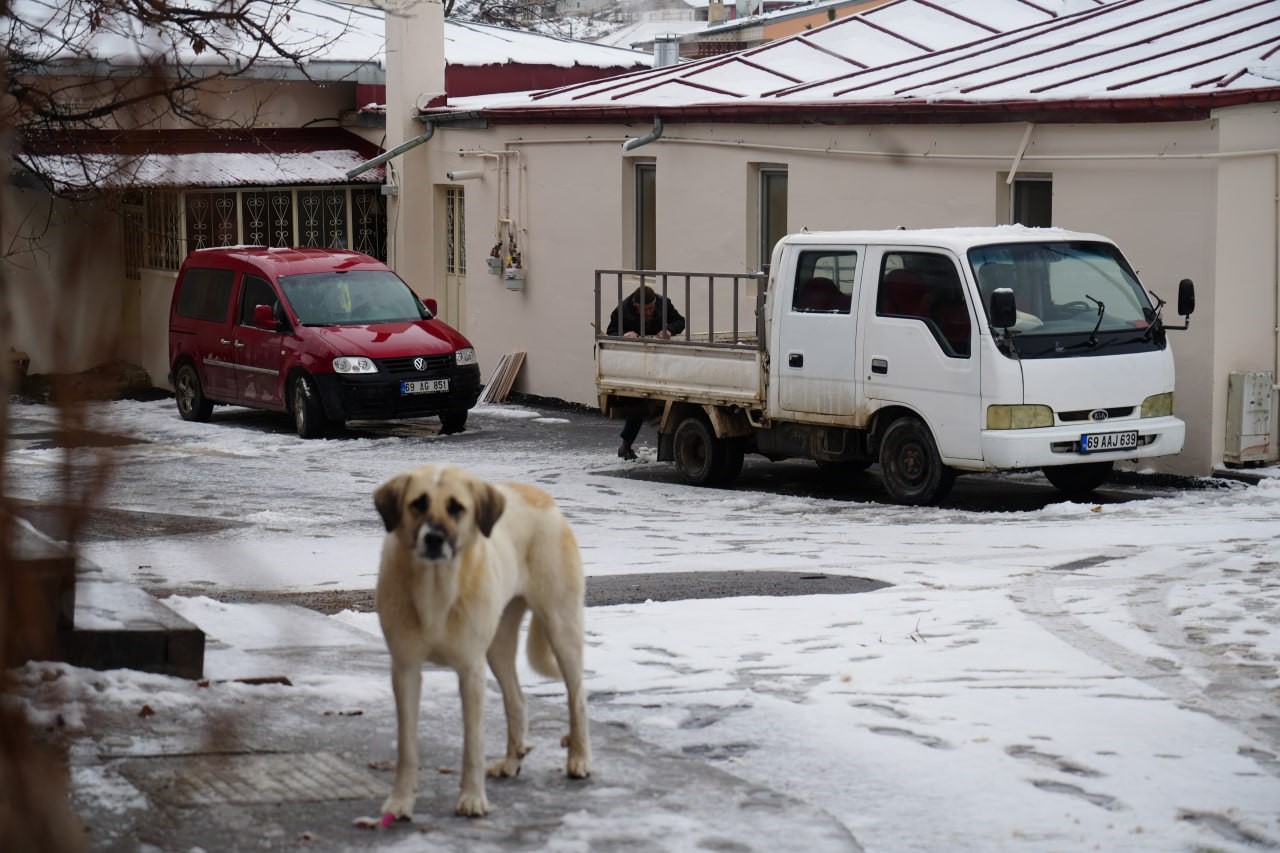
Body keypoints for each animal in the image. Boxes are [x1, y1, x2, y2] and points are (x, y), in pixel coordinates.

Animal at [371, 466, 588, 819]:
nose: (434, 539)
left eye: (457, 507)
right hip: (498, 646)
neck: (436, 589)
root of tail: (543, 497)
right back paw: (512, 761)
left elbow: (473, 743)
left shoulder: (470, 671)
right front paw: (401, 801)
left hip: (561, 628)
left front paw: (472, 799)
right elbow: (407, 745)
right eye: (418, 503)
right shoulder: (405, 669)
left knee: (578, 697)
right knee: (517, 701)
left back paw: (580, 759)